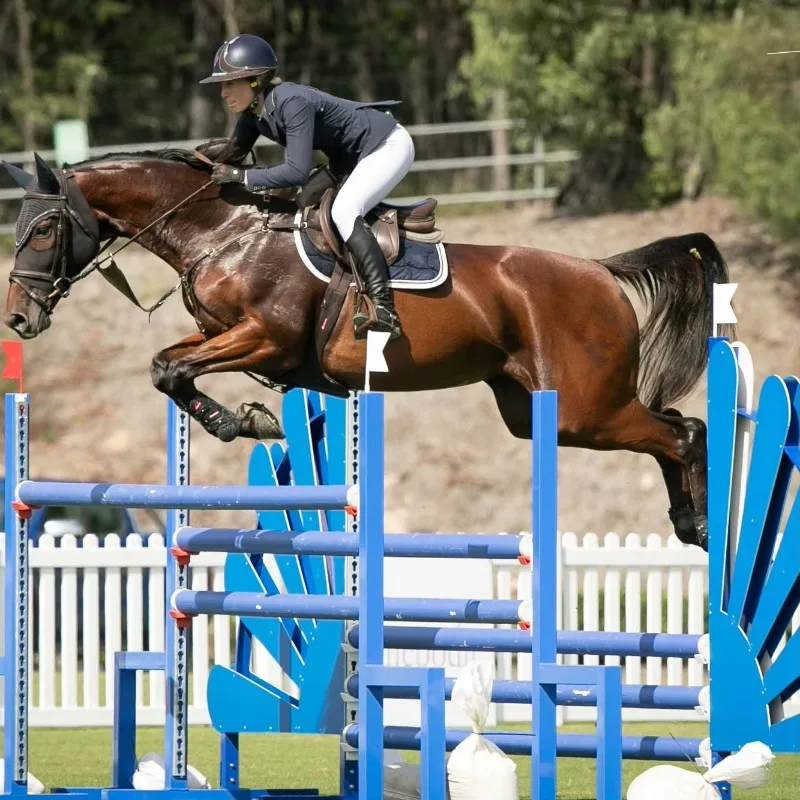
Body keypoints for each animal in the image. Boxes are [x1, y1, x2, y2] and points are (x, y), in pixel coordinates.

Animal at [1, 149, 735, 550]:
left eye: (42, 229)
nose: (18, 317)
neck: (224, 232)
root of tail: (602, 271)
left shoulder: (264, 340)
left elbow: (171, 369)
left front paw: (243, 422)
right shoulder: (221, 337)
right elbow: (166, 367)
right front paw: (246, 420)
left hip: (585, 408)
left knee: (684, 432)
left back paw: (700, 523)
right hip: (538, 413)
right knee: (673, 427)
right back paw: (690, 523)